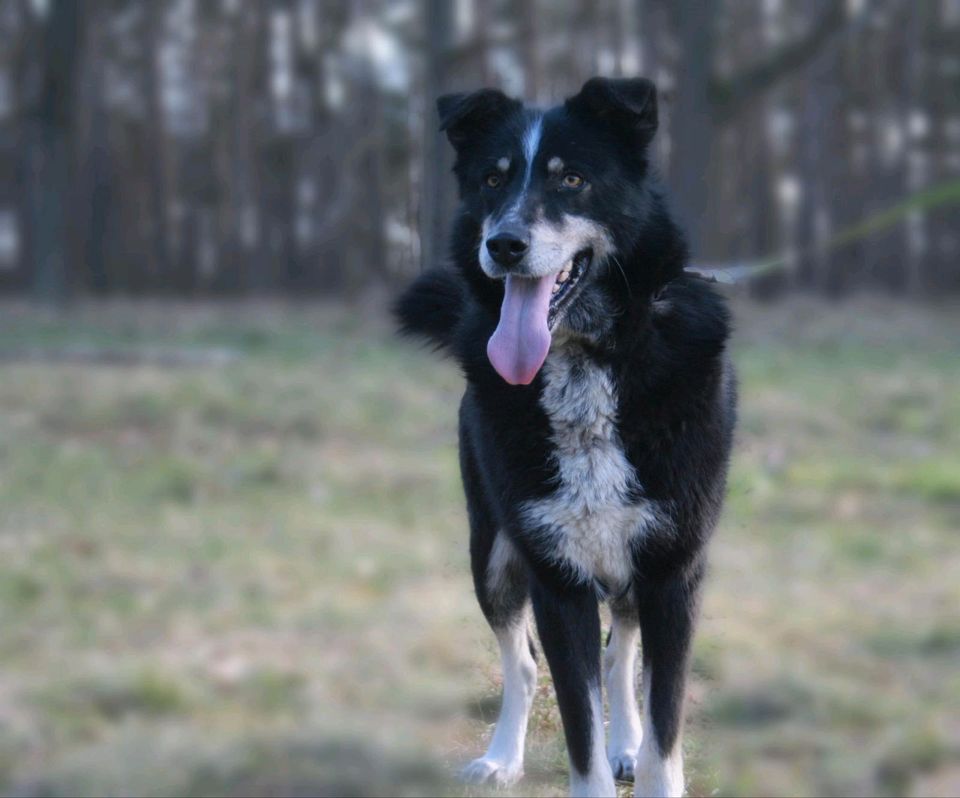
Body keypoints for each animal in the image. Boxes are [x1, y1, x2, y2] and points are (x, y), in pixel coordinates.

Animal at [394, 76, 740, 798]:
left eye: (572, 179)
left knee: (622, 657)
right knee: (524, 663)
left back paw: (625, 743)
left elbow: (663, 719)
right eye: (493, 180)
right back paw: (502, 757)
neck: (585, 359)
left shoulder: (672, 572)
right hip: (492, 554)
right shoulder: (556, 577)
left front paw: (642, 756)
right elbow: (579, 723)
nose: (503, 244)